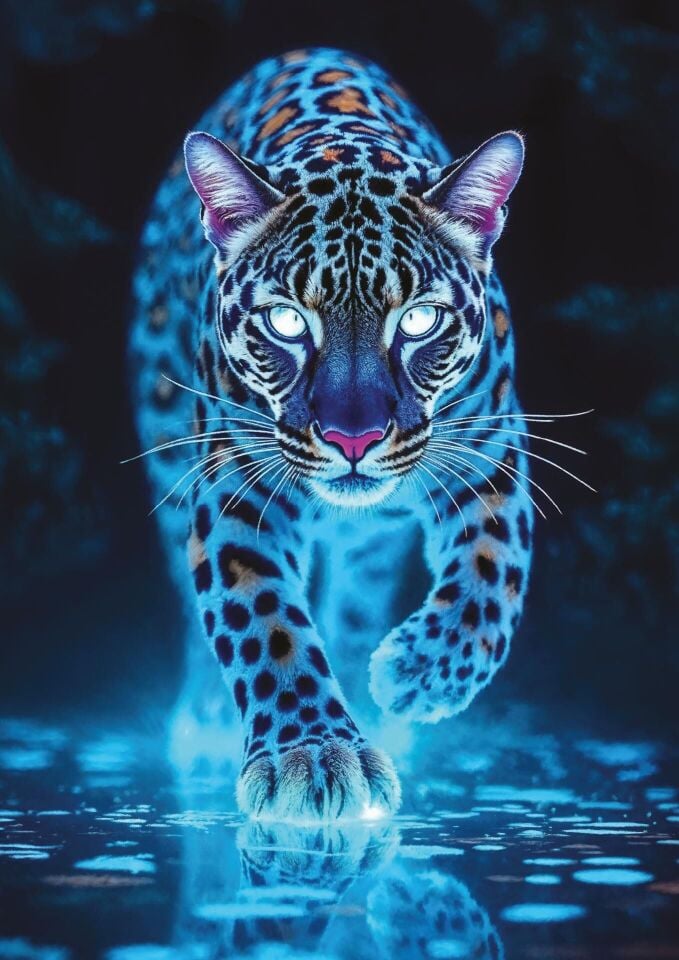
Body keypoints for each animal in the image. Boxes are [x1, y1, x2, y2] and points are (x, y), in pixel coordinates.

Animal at [129, 46, 534, 821]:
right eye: (287, 321)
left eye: (418, 319)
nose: (354, 440)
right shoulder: (235, 488)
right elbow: (263, 621)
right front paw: (312, 756)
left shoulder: (491, 454)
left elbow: (492, 577)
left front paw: (417, 675)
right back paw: (204, 719)